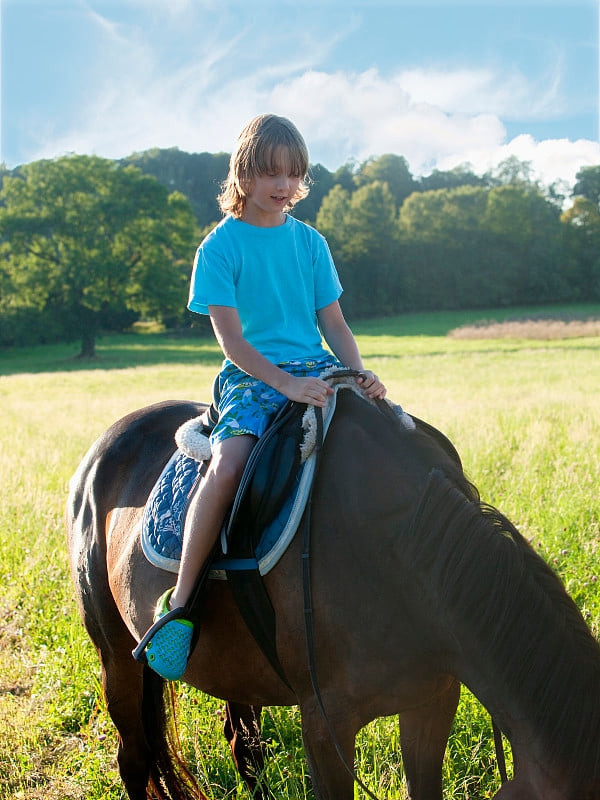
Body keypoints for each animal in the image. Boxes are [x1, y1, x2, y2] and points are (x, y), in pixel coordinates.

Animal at [65, 386, 600, 792]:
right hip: (116, 654)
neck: (399, 551)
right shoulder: (325, 729)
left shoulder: (433, 700)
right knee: (133, 758)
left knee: (244, 749)